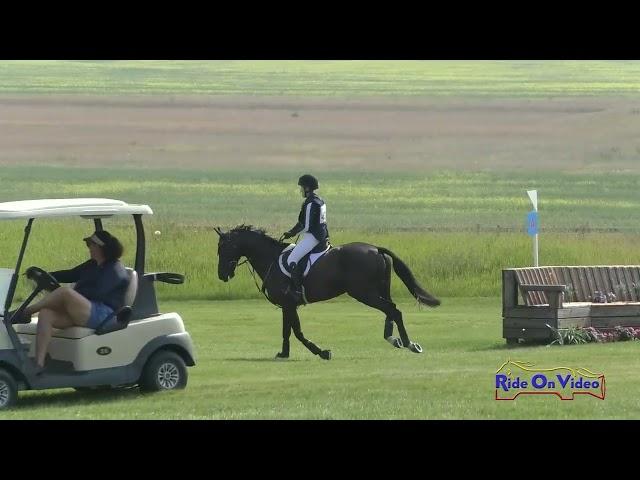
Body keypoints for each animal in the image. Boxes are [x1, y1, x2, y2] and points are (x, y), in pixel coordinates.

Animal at [215, 225, 440, 360]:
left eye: (224, 247)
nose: (222, 275)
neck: (271, 258)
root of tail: (376, 249)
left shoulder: (289, 303)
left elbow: (296, 331)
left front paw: (321, 352)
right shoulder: (287, 305)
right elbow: (287, 330)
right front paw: (284, 353)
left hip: (364, 293)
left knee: (393, 310)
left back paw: (409, 343)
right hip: (378, 291)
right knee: (390, 310)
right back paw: (395, 340)